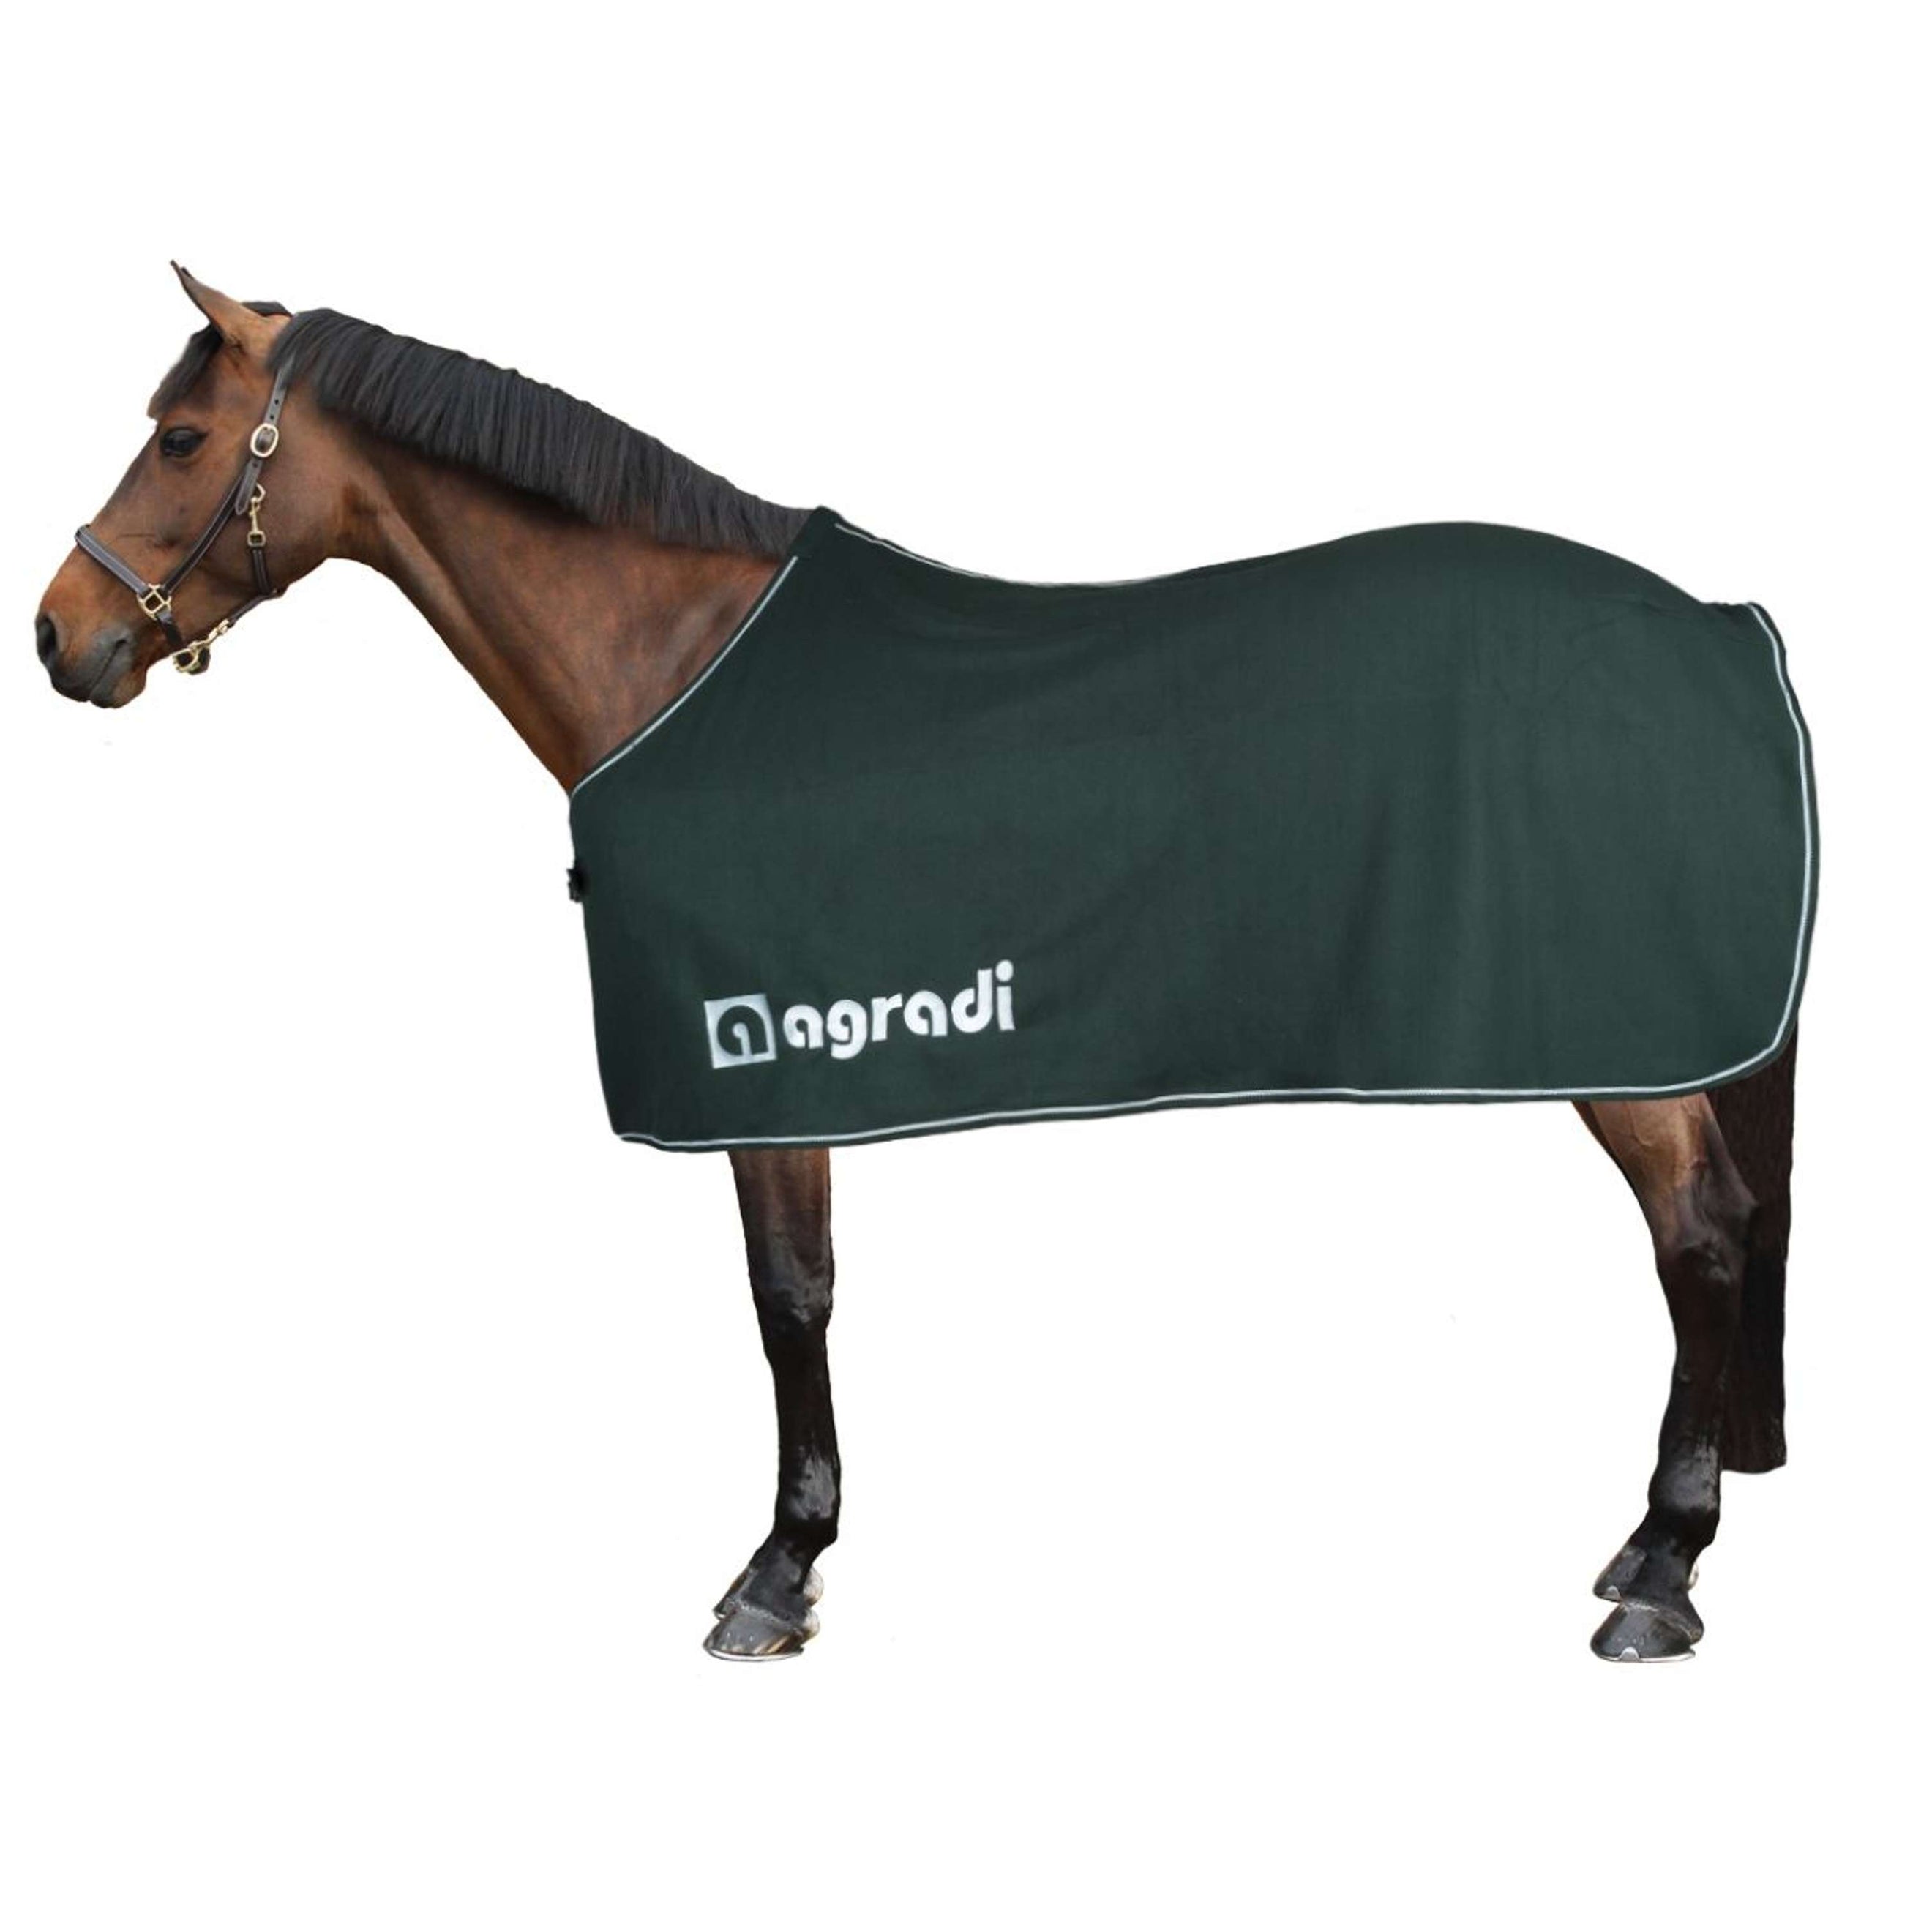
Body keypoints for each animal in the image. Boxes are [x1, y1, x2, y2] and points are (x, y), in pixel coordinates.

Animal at [33, 266, 1805, 1663]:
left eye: (182, 438)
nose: (60, 637)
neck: (679, 660)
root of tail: (1723, 629)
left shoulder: (756, 1062)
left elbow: (789, 1299)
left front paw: (778, 1571)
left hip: (1619, 1043)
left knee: (1702, 1237)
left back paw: (1662, 1572)